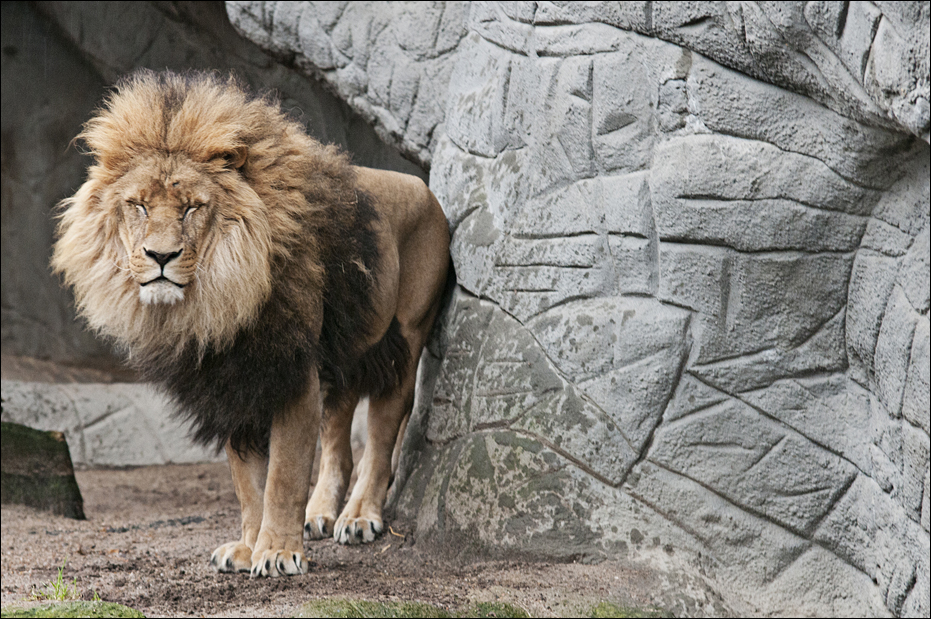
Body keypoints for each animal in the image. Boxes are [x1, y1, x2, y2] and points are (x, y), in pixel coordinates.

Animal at [51, 70, 450, 577]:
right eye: (137, 205)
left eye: (192, 207)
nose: (160, 256)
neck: (219, 297)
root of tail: (425, 188)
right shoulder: (228, 381)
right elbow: (248, 482)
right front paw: (247, 547)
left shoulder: (292, 372)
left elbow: (282, 475)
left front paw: (278, 552)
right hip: (343, 354)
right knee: (338, 438)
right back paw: (321, 513)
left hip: (404, 342)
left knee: (380, 443)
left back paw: (359, 517)